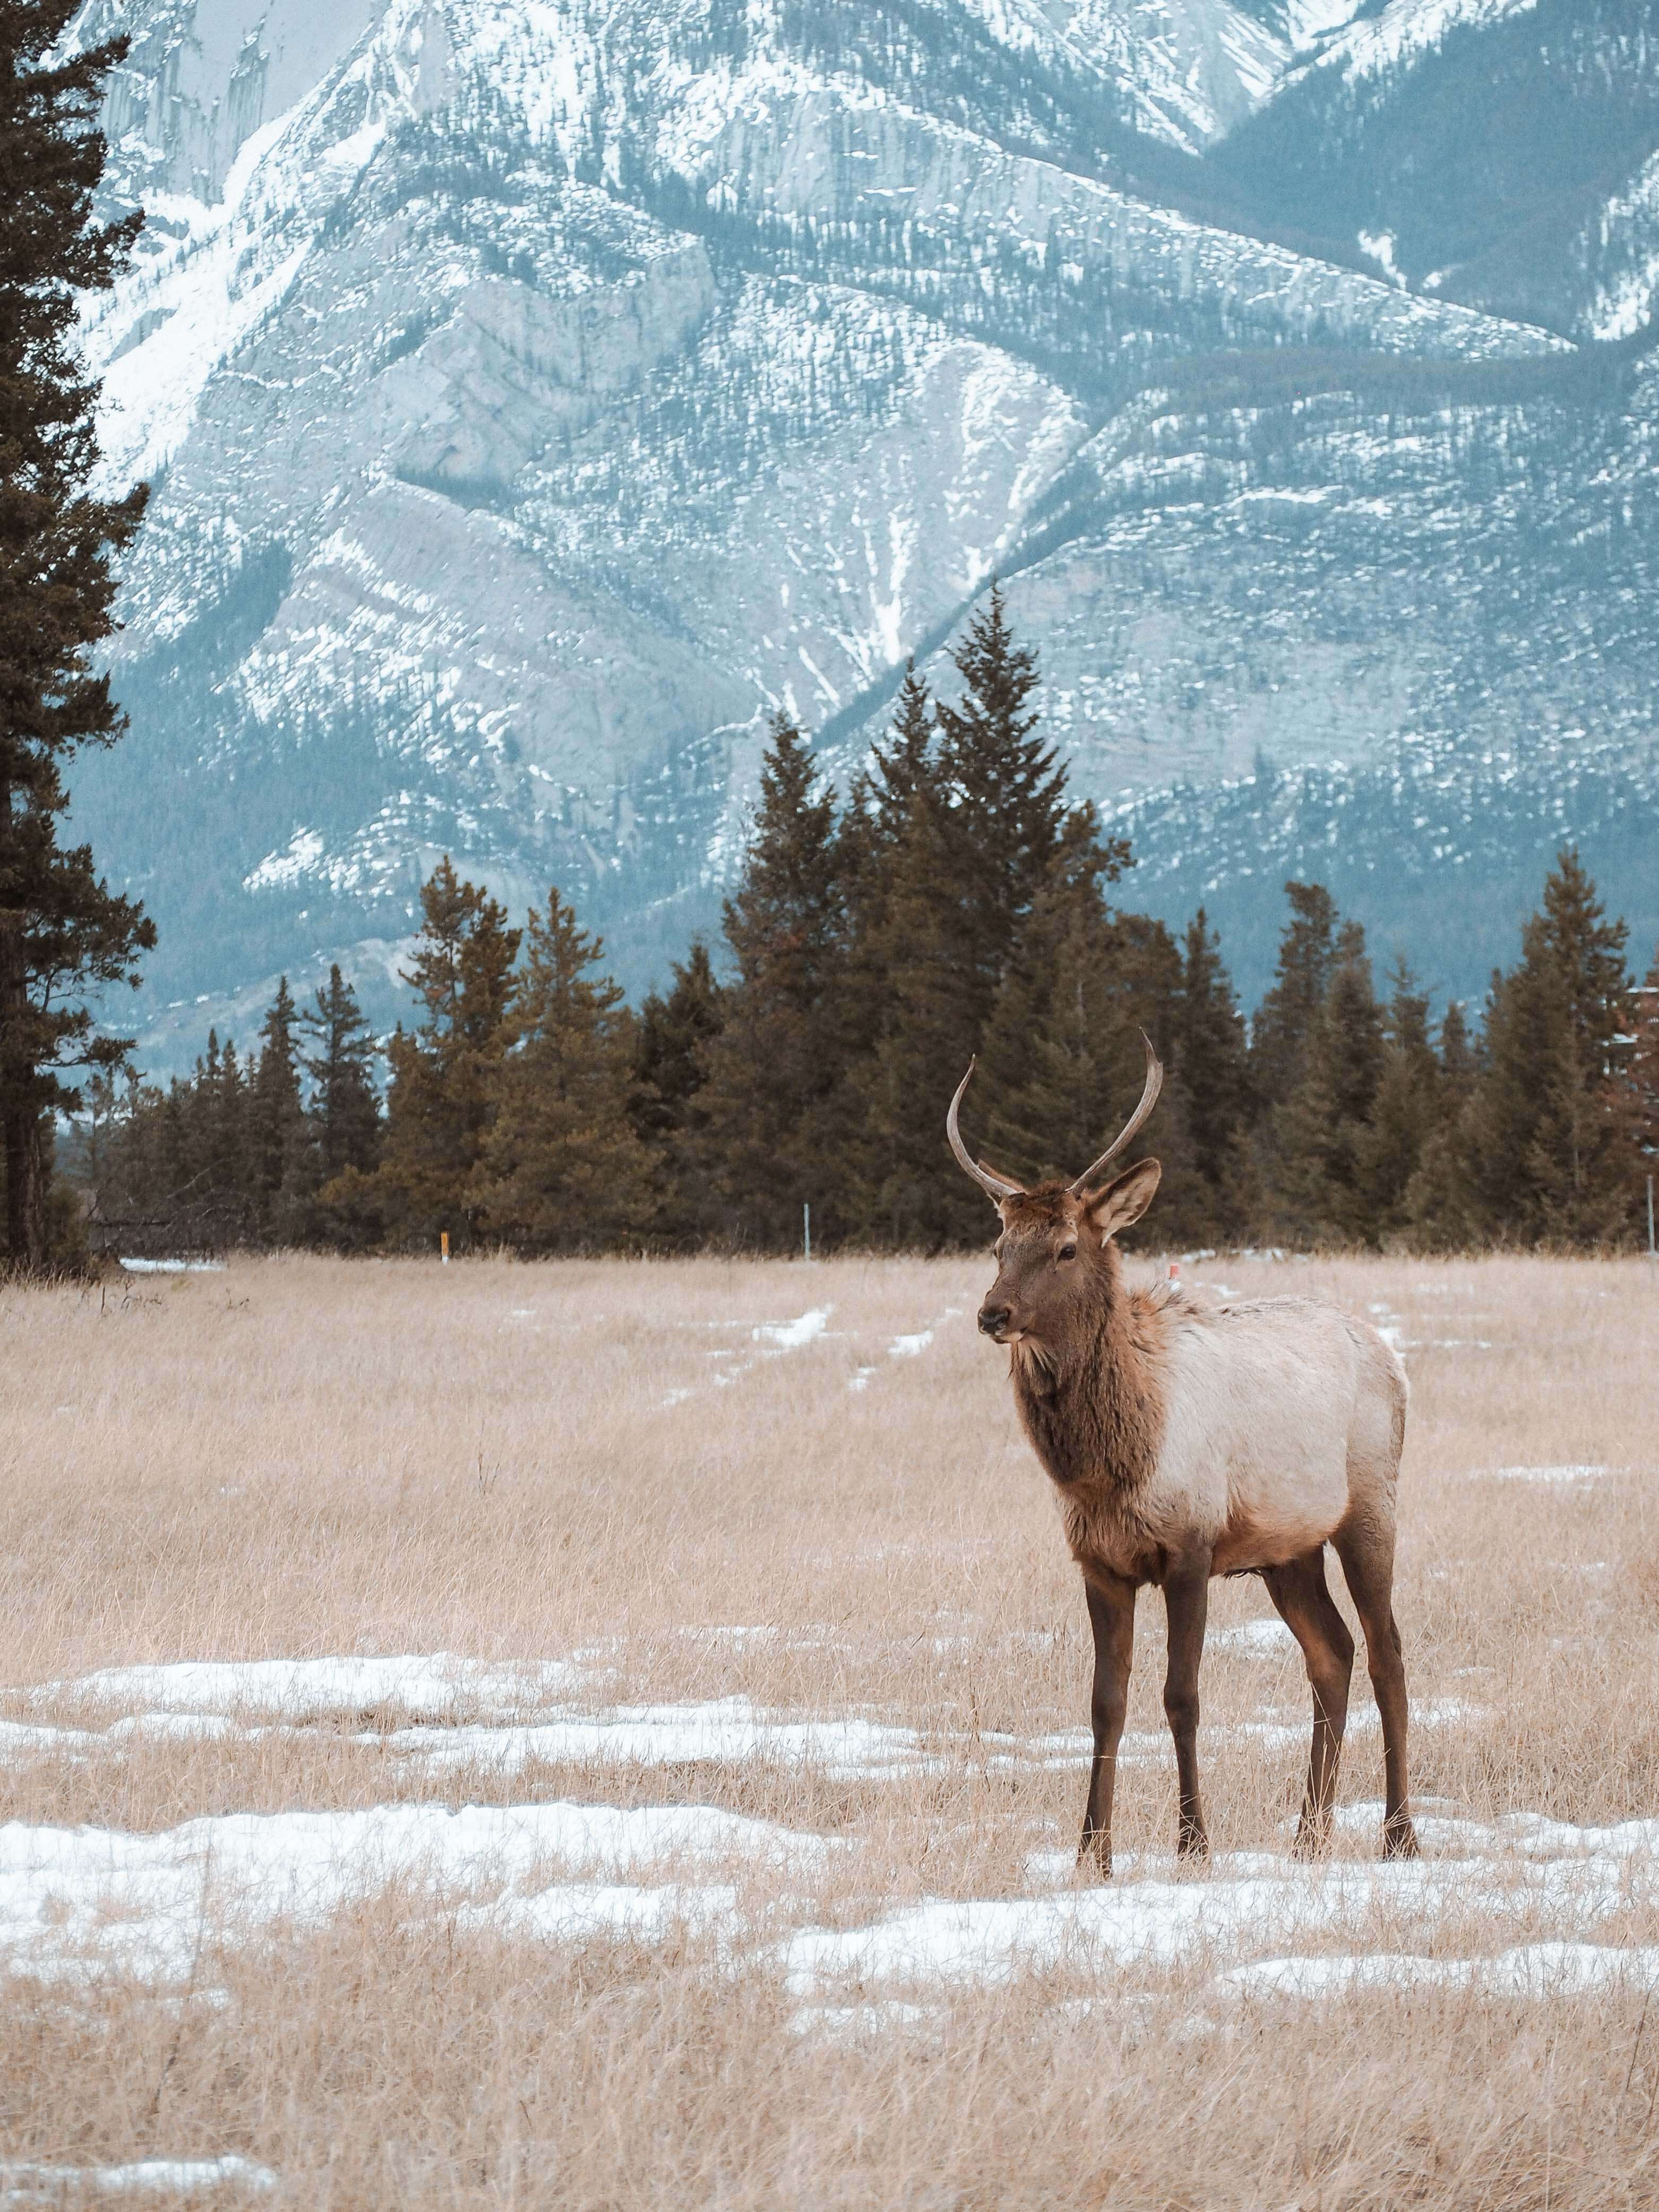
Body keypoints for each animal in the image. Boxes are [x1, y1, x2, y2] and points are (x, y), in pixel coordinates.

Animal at [947, 1044, 1415, 1875]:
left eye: (1065, 1247)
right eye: (998, 1247)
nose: (992, 1313)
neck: (1108, 1467)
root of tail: (1393, 1358)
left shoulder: (1189, 1547)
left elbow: (1181, 1695)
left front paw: (1193, 1842)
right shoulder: (1099, 1561)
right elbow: (1105, 1702)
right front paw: (1091, 1852)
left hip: (1370, 1505)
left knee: (1387, 1652)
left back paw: (1398, 1833)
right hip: (1286, 1549)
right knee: (1332, 1652)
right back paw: (1308, 1835)